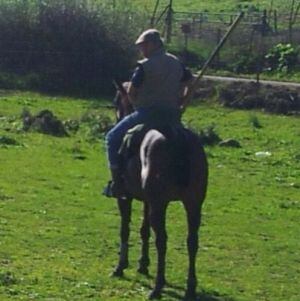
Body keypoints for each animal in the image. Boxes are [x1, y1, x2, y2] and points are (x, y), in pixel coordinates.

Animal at [109, 81, 209, 298]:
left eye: (116, 102)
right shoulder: (147, 200)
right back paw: (190, 287)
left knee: (162, 240)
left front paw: (121, 266)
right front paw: (143, 264)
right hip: (193, 203)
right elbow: (144, 230)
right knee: (192, 241)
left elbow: (125, 229)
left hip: (160, 204)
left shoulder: (125, 197)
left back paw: (158, 286)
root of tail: (177, 137)